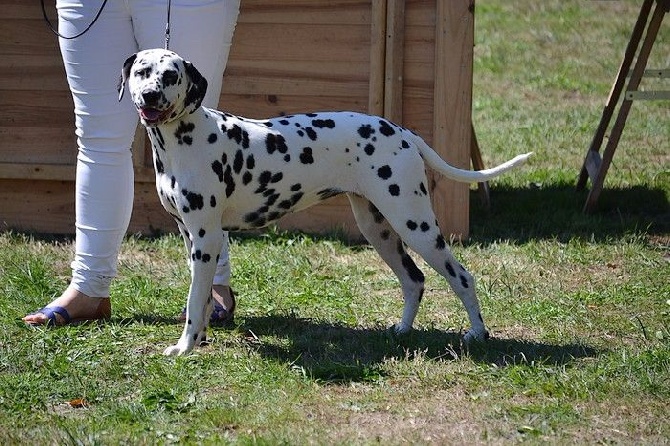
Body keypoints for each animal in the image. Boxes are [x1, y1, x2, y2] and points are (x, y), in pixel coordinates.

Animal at [118, 48, 532, 356]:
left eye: (171, 75)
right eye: (142, 71)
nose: (150, 94)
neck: (184, 141)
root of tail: (402, 131)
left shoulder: (207, 238)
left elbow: (193, 301)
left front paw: (184, 348)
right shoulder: (191, 237)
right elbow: (200, 298)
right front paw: (199, 340)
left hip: (416, 226)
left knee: (461, 277)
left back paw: (478, 334)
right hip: (380, 230)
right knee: (414, 280)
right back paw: (401, 330)